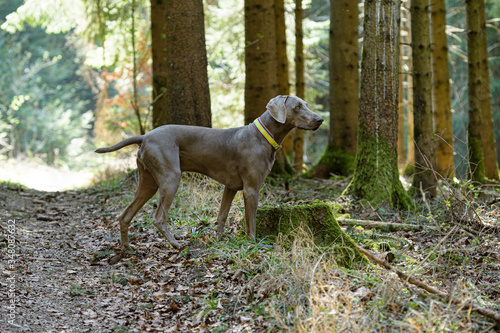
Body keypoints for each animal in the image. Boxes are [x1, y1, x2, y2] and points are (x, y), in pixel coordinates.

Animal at [96, 95, 324, 249]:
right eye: (297, 106)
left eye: (306, 104)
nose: (320, 119)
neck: (263, 136)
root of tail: (144, 136)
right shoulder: (251, 189)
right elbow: (251, 222)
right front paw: (253, 244)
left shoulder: (230, 187)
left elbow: (222, 216)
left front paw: (219, 241)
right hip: (171, 178)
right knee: (159, 217)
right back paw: (176, 244)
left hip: (148, 182)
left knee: (125, 215)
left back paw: (126, 248)